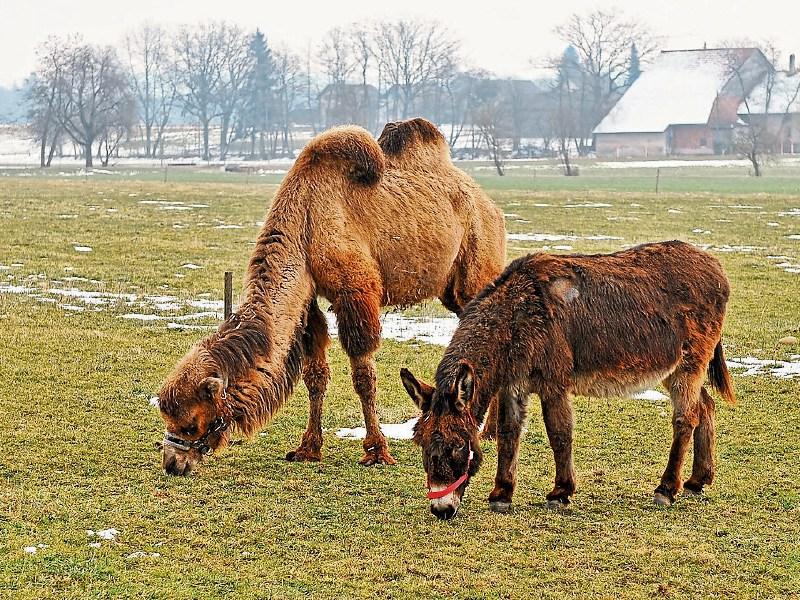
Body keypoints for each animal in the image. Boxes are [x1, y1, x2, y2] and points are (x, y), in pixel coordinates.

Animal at [157, 118, 506, 476]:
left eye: (191, 424)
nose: (172, 463)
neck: (306, 223)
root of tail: (491, 206)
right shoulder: (308, 300)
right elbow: (315, 375)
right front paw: (308, 448)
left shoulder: (356, 290)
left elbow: (363, 377)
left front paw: (376, 451)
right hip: (452, 290)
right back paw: (489, 430)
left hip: (477, 268)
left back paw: (488, 431)